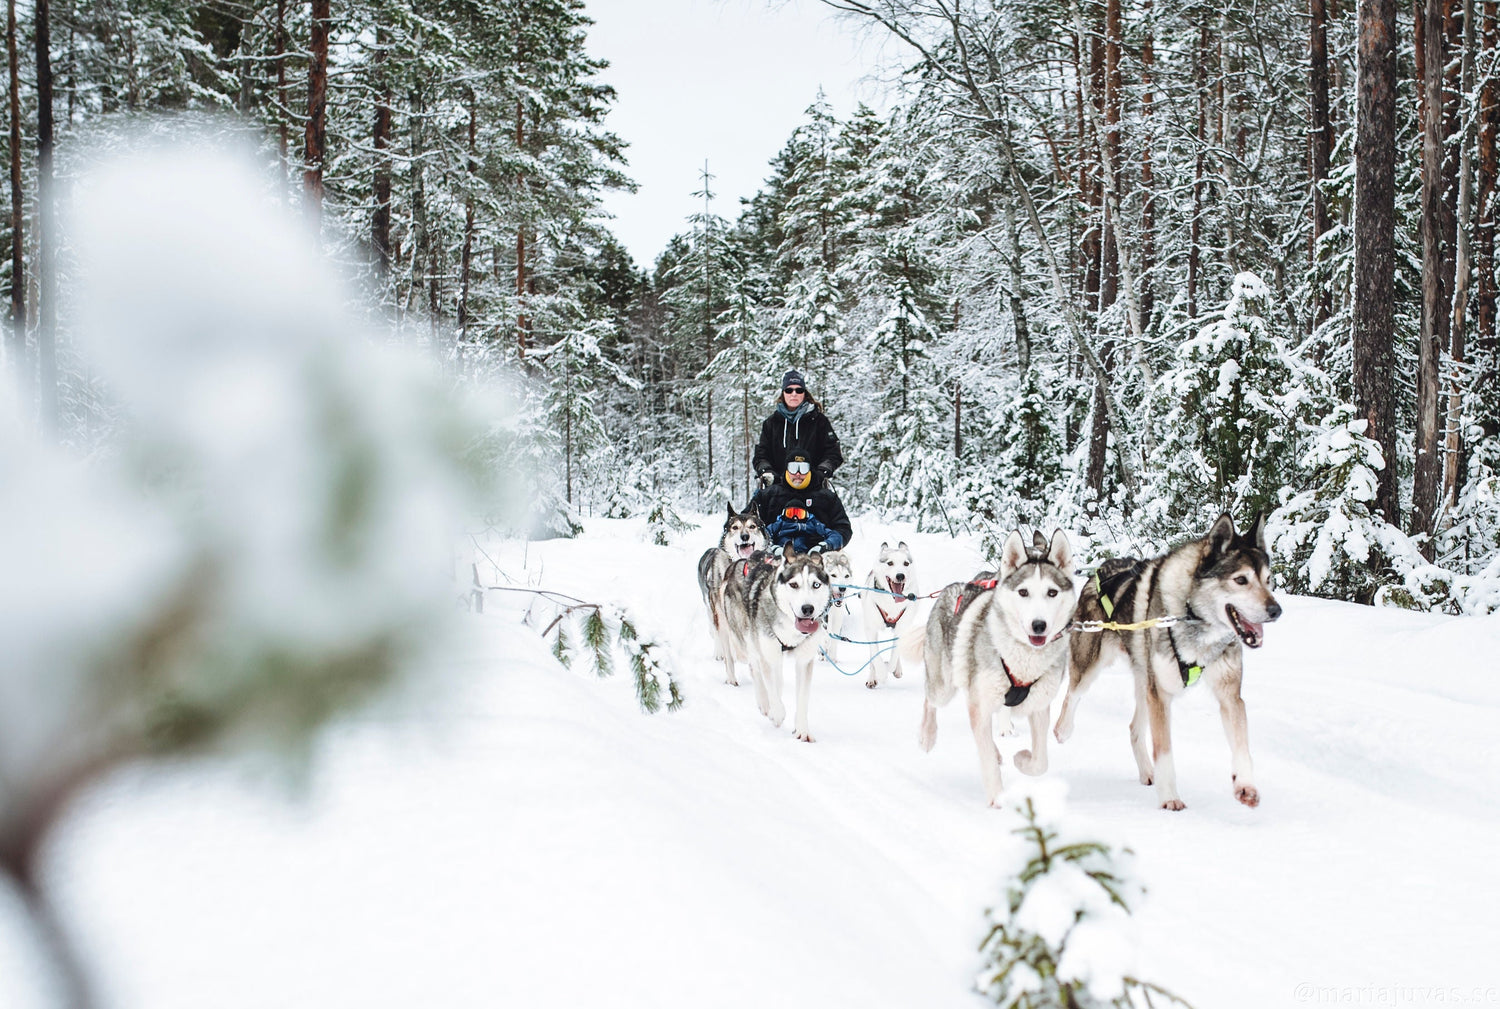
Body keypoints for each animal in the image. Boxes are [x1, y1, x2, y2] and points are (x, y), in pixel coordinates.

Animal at [699, 503, 768, 683]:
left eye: (752, 526)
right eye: (735, 527)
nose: (744, 536)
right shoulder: (722, 616)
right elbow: (730, 650)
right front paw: (731, 680)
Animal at [717, 542, 834, 740]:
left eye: (816, 585)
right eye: (794, 584)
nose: (807, 608)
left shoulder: (804, 661)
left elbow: (802, 697)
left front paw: (802, 730)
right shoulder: (767, 654)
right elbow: (770, 685)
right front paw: (777, 714)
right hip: (749, 638)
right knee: (755, 668)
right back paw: (765, 704)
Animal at [864, 539, 918, 689]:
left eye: (906, 563)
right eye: (889, 563)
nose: (900, 575)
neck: (891, 602)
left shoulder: (901, 628)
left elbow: (894, 654)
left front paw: (890, 667)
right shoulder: (871, 630)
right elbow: (875, 655)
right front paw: (881, 673)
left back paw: (897, 669)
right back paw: (872, 677)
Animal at [906, 527, 1074, 803]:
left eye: (1052, 592)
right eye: (1023, 592)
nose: (1039, 625)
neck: (1023, 658)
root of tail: (951, 588)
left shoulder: (1039, 707)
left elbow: (1040, 762)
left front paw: (1022, 759)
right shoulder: (980, 703)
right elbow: (987, 761)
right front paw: (998, 800)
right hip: (944, 686)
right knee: (930, 701)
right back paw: (927, 735)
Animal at [1056, 512, 1278, 809]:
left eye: (1268, 579)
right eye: (1241, 580)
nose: (1276, 610)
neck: (1192, 615)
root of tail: (1100, 571)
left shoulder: (1229, 695)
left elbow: (1242, 746)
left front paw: (1246, 785)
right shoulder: (1160, 694)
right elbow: (1164, 751)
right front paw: (1170, 797)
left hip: (1143, 680)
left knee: (1134, 728)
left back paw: (1146, 772)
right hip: (1092, 666)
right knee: (1072, 695)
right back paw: (1062, 730)